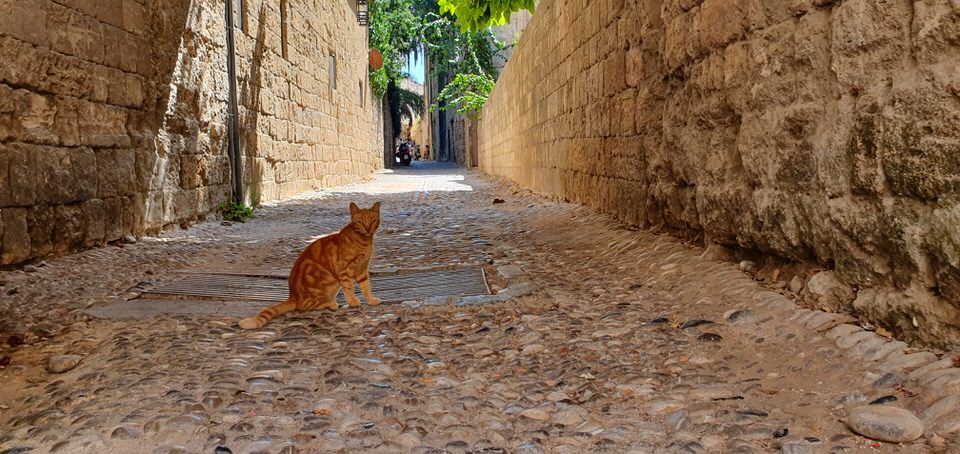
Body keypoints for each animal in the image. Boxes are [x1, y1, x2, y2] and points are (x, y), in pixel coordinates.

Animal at [240, 203, 382, 330]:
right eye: (360, 222)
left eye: (373, 221)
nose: (368, 229)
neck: (364, 242)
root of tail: (293, 295)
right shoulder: (344, 269)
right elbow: (349, 288)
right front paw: (353, 302)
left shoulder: (362, 270)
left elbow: (366, 287)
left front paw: (371, 300)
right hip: (328, 280)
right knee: (304, 306)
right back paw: (331, 303)